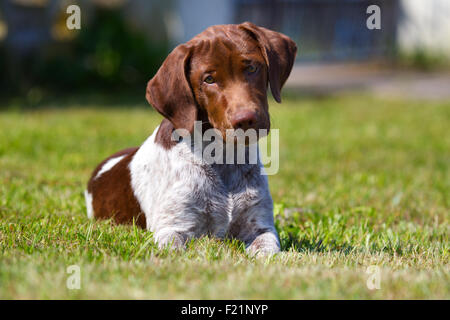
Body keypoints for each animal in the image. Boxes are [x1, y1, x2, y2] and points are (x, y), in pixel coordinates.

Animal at [85, 22, 298, 255]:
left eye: (251, 68)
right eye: (209, 79)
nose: (246, 120)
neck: (223, 157)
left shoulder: (260, 227)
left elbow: (267, 251)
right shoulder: (172, 229)